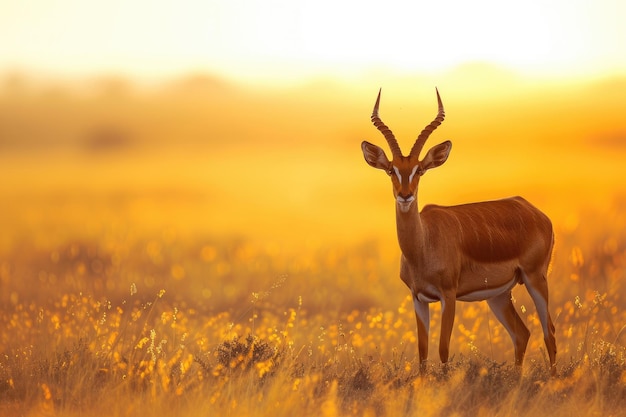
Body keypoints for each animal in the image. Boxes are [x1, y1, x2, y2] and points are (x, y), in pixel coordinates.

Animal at [360, 88, 556, 370]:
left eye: (420, 170)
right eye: (390, 170)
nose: (405, 195)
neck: (423, 246)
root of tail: (533, 211)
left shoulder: (448, 296)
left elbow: (443, 349)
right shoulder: (418, 298)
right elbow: (422, 352)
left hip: (535, 278)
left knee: (549, 332)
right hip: (499, 295)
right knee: (522, 333)